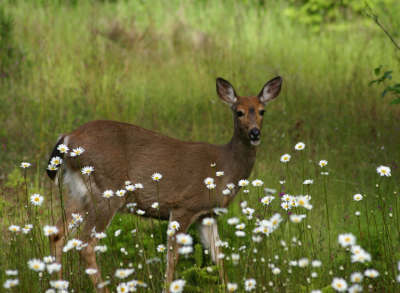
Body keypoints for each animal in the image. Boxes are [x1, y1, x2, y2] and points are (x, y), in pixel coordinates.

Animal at [46, 75, 282, 290]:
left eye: (262, 111)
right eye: (238, 111)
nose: (255, 133)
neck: (224, 167)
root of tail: (67, 138)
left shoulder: (207, 214)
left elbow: (218, 255)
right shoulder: (183, 206)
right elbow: (172, 259)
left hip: (80, 193)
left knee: (57, 234)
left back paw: (58, 285)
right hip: (107, 192)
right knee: (85, 244)